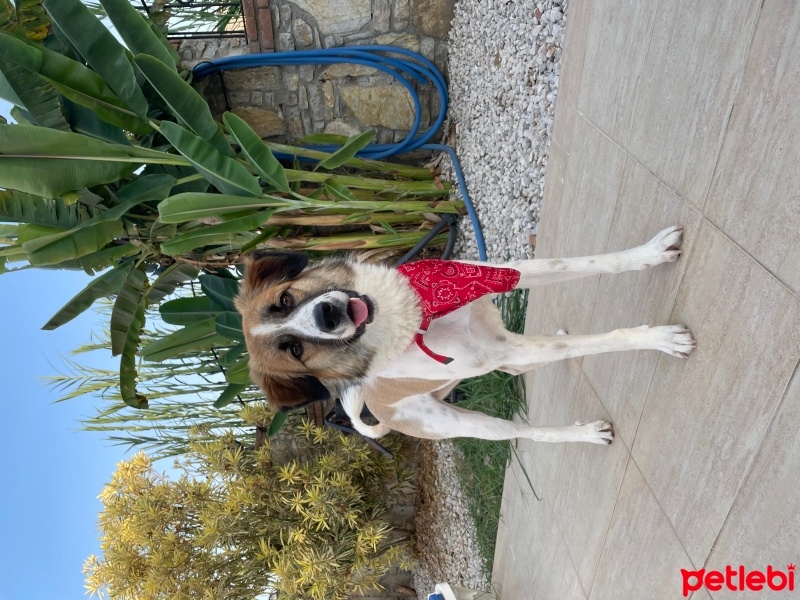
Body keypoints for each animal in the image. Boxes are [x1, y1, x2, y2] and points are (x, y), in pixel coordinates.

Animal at [233, 225, 692, 446]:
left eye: (285, 298)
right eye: (294, 350)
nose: (326, 315)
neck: (418, 316)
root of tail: (380, 414)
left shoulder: (502, 274)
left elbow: (587, 263)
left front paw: (650, 252)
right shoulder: (504, 350)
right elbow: (590, 342)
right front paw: (660, 339)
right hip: (465, 423)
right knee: (523, 431)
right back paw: (583, 434)